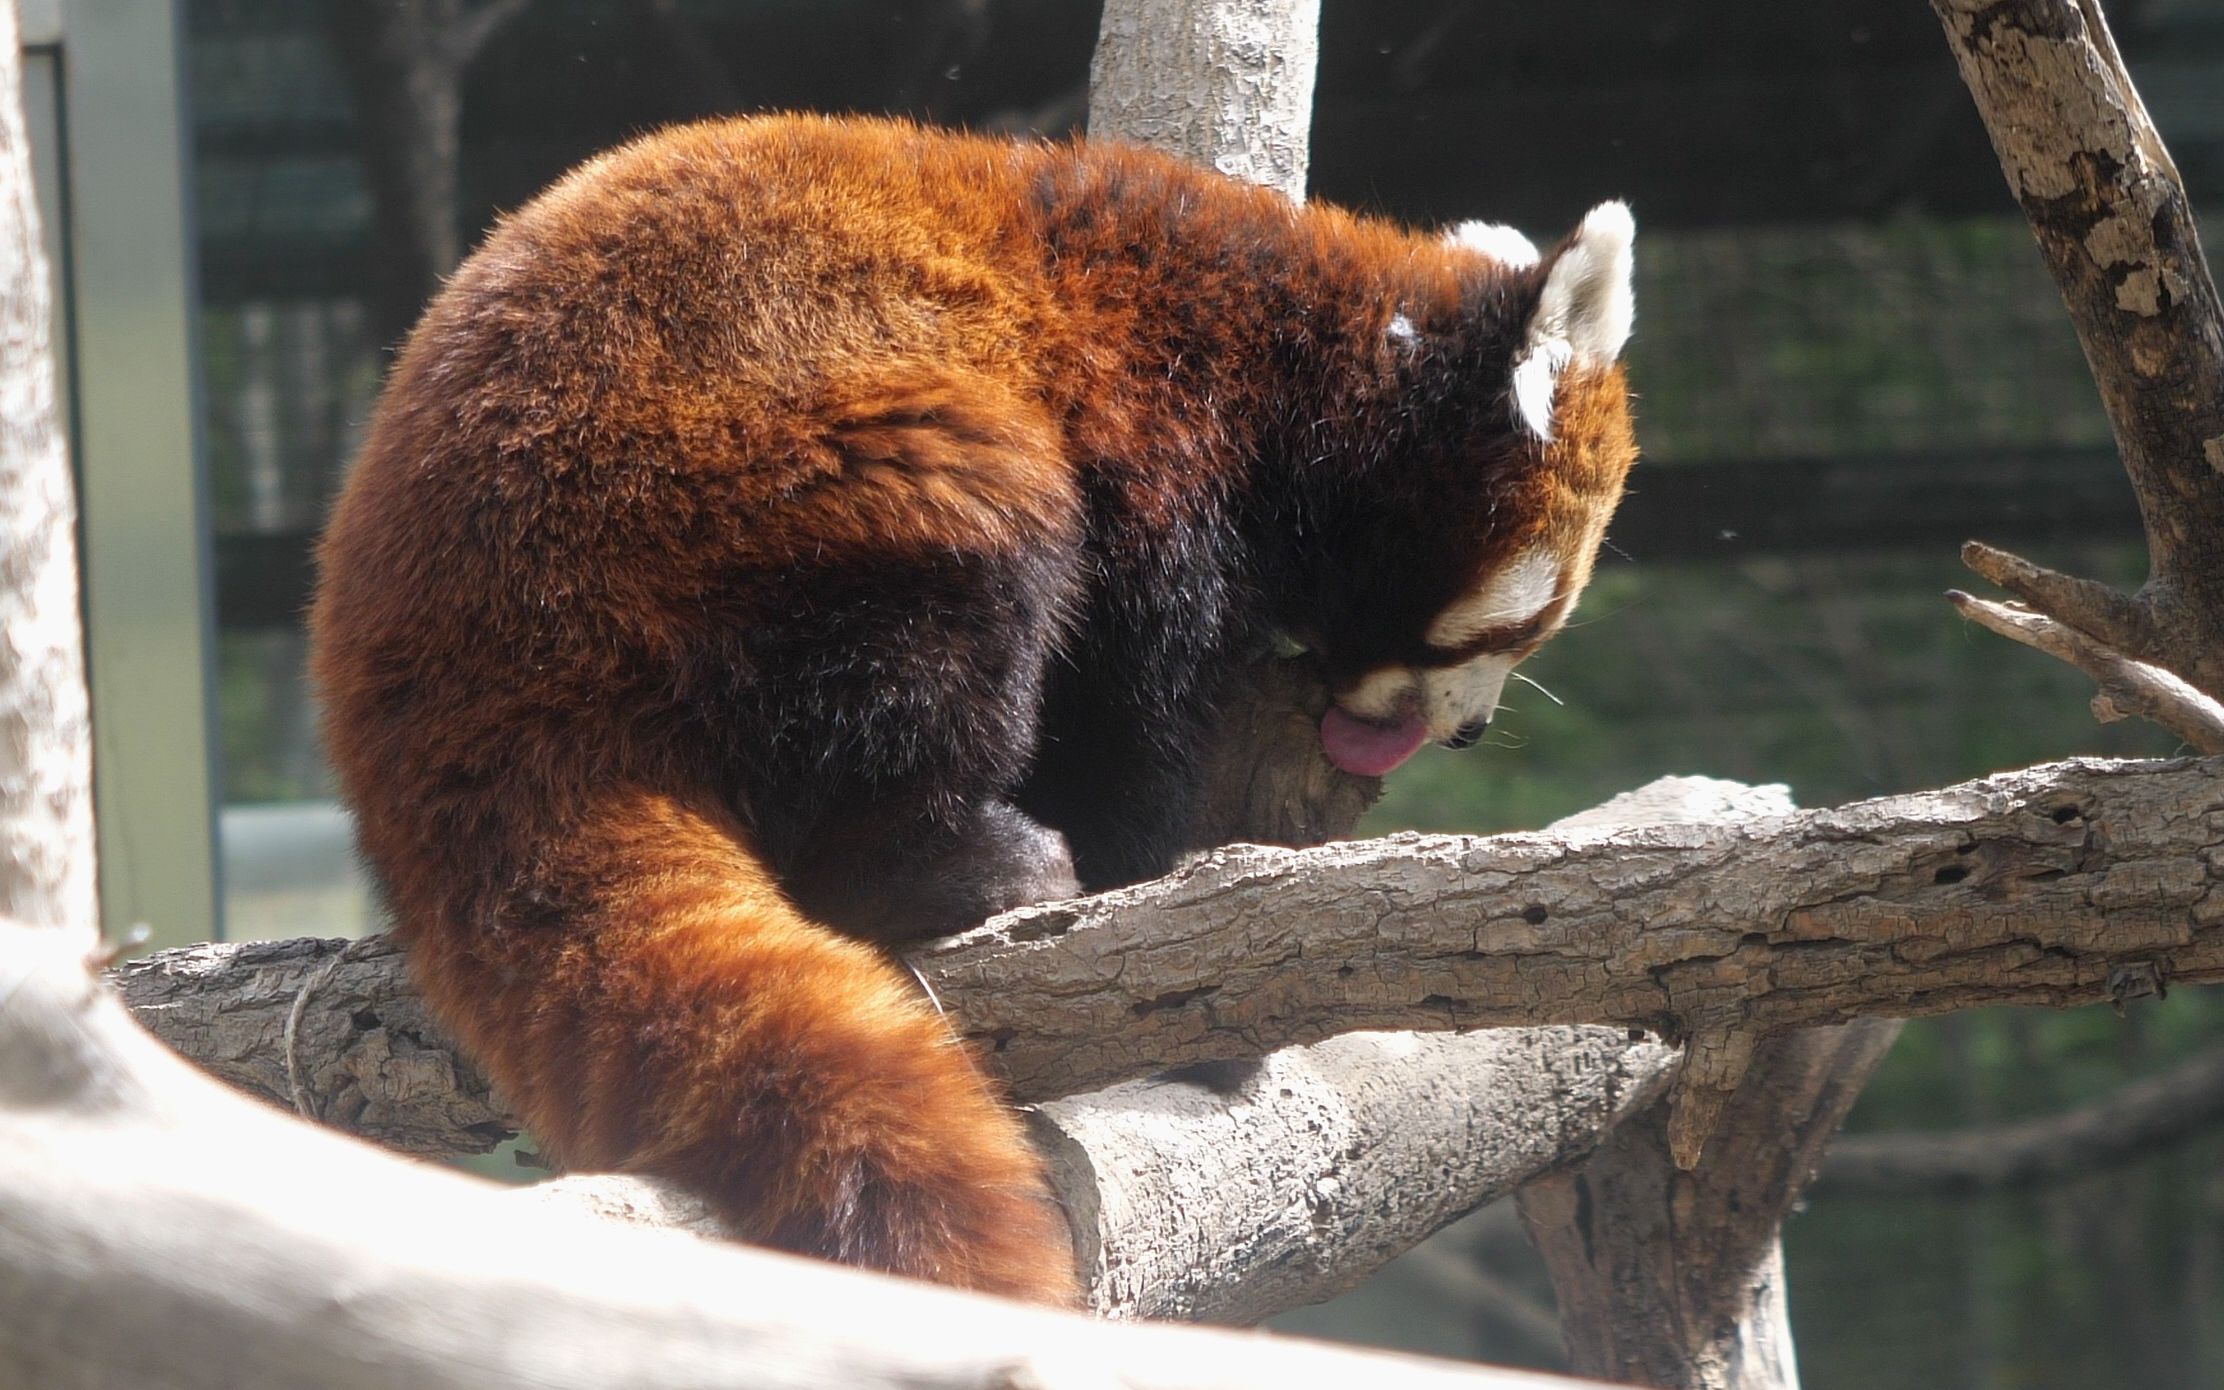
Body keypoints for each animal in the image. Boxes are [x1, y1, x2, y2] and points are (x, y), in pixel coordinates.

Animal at [309, 113, 1636, 1307]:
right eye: (1515, 627)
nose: (1465, 730)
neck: (1300, 350)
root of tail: (453, 667)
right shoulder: (1155, 441)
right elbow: (1128, 707)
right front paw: (1155, 895)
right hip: (787, 486)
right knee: (947, 596)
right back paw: (969, 866)